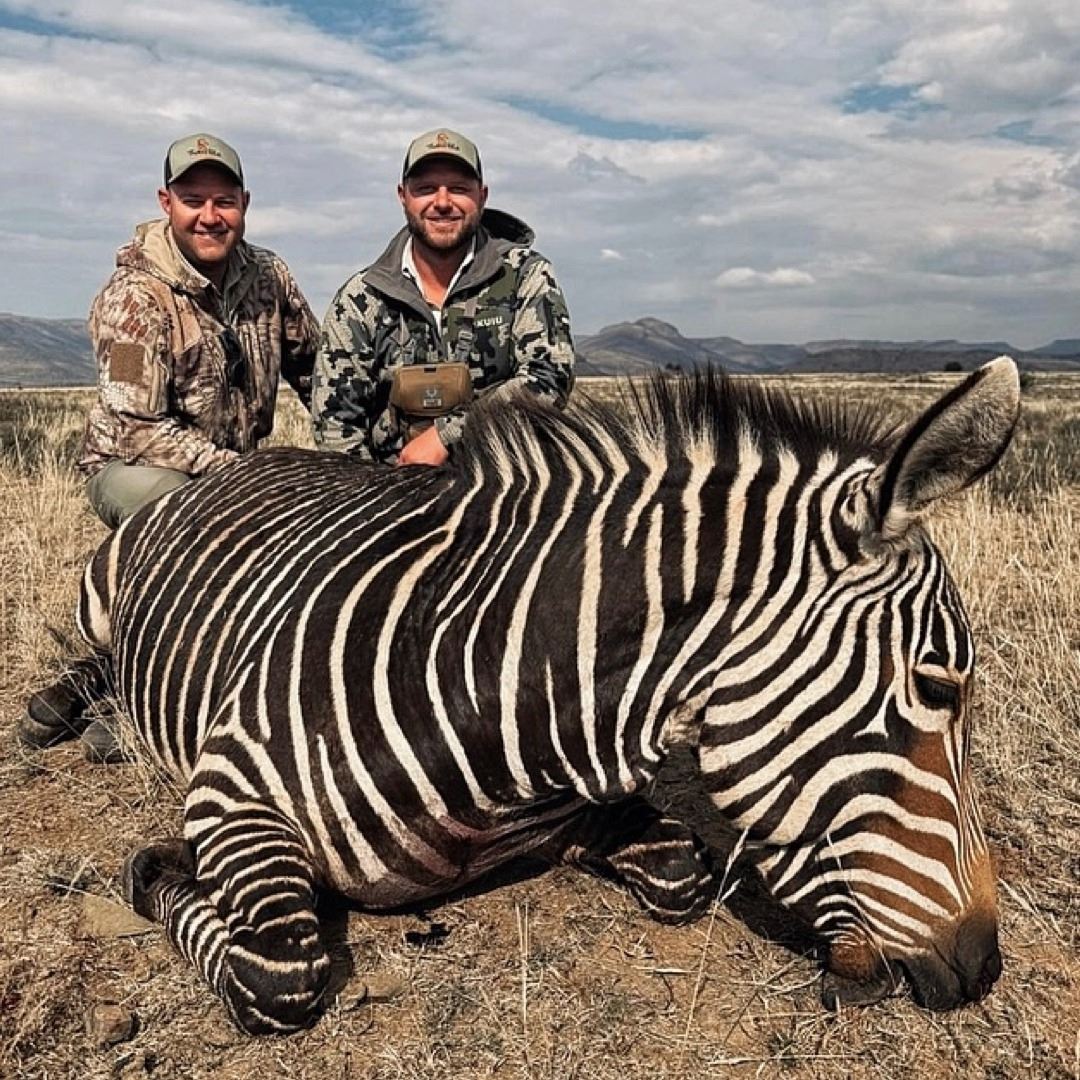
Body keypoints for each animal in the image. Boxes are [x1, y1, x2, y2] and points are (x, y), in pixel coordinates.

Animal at [38, 358, 1018, 1034]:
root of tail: (250, 458)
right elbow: (276, 973)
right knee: (93, 653)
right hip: (103, 585)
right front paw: (160, 867)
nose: (982, 966)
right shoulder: (232, 786)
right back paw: (64, 713)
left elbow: (680, 871)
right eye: (938, 686)